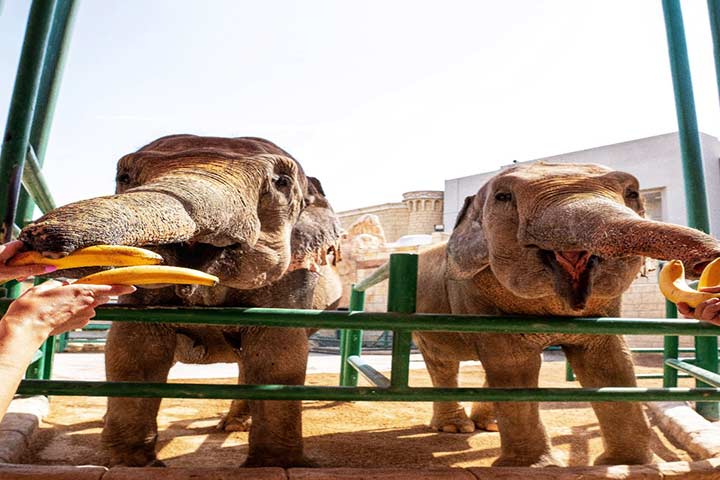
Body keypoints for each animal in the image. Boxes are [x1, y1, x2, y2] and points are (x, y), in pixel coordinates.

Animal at [17, 133, 344, 466]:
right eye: (123, 177)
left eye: (282, 182)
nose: (35, 236)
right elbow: (134, 351)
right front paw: (134, 463)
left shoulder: (295, 281)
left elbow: (278, 357)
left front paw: (273, 464)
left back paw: (233, 426)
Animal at [414, 160, 720, 464]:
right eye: (503, 197)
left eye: (632, 192)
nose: (703, 262)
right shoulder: (477, 296)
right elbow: (515, 363)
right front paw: (534, 466)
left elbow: (609, 361)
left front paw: (627, 464)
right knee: (443, 363)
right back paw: (455, 428)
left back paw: (488, 425)